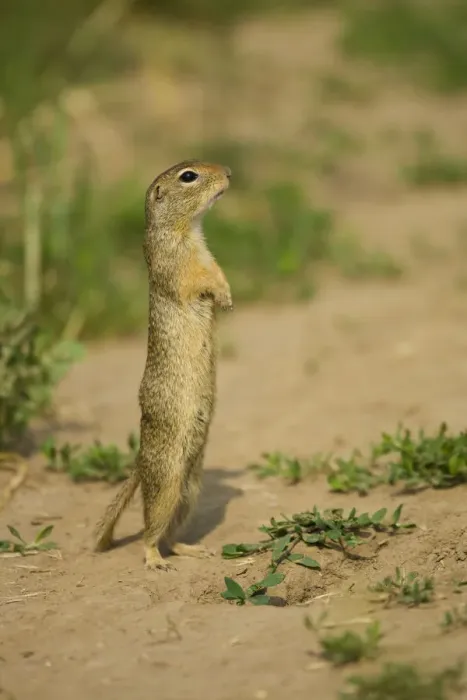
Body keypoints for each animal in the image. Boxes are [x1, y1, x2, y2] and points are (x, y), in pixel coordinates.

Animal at [93, 159, 232, 570]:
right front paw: (223, 297)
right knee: (150, 528)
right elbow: (198, 280)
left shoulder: (208, 256)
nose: (229, 172)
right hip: (168, 482)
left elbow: (218, 272)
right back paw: (155, 560)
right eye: (189, 176)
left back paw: (190, 548)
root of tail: (140, 461)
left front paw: (227, 298)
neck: (188, 230)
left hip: (190, 489)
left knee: (171, 531)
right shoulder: (178, 265)